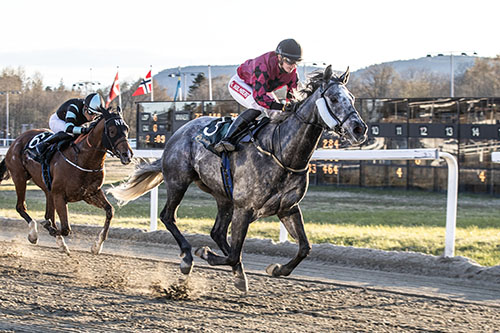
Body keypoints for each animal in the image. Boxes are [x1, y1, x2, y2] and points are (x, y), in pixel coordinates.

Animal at [0, 106, 133, 254]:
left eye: (126, 129)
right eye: (112, 131)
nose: (127, 154)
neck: (84, 159)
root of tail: (16, 141)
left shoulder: (90, 194)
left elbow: (110, 211)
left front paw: (97, 245)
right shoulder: (59, 195)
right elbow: (65, 229)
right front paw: (48, 229)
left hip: (47, 189)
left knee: (49, 215)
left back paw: (60, 243)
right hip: (20, 177)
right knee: (20, 207)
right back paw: (33, 234)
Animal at [109, 65, 368, 290]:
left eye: (352, 98)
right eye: (333, 98)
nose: (359, 129)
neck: (282, 152)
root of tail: (177, 133)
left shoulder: (288, 208)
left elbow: (305, 247)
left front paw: (277, 269)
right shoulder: (245, 207)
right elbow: (234, 253)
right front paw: (205, 254)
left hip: (223, 195)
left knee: (217, 232)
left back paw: (238, 275)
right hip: (178, 181)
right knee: (168, 216)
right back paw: (188, 257)